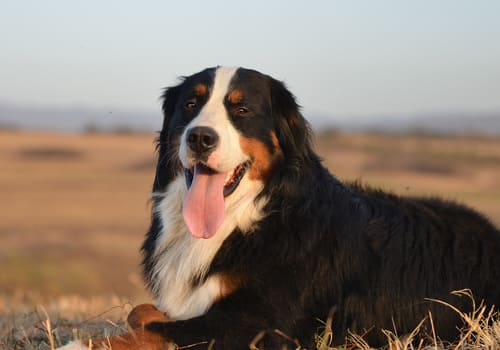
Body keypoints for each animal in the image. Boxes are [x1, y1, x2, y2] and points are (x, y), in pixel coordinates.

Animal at [58, 67, 500, 348]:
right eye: (189, 105)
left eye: (241, 110)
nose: (200, 137)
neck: (246, 219)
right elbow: (144, 312)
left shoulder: (267, 325)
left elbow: (158, 329)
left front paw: (79, 346)